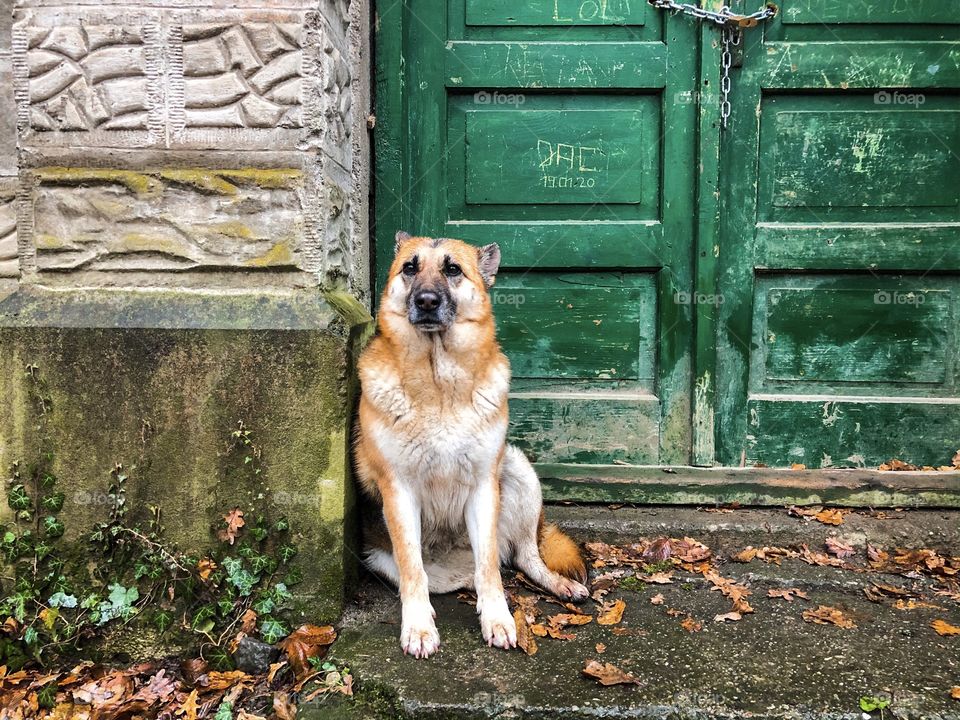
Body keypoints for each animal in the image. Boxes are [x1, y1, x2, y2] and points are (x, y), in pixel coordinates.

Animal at [354, 231, 588, 660]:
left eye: (452, 269)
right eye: (409, 268)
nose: (426, 301)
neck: (438, 382)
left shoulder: (483, 487)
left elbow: (490, 569)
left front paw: (497, 618)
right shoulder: (398, 492)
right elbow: (413, 569)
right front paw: (418, 627)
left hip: (517, 470)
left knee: (521, 557)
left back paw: (555, 583)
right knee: (451, 575)